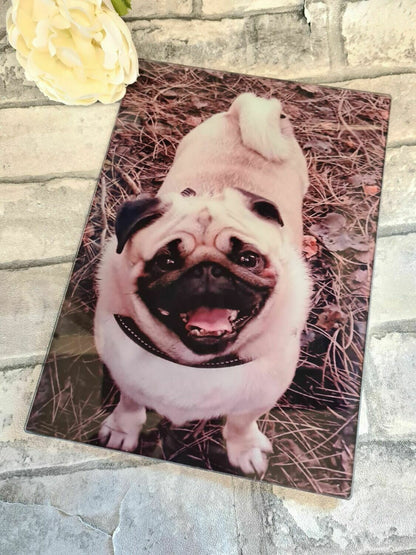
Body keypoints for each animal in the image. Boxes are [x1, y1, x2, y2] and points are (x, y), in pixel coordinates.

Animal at [93, 93, 308, 476]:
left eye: (248, 259)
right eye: (166, 261)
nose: (208, 269)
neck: (193, 363)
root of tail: (240, 113)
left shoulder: (261, 394)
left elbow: (240, 422)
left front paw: (244, 449)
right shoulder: (124, 374)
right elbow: (131, 403)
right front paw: (122, 429)